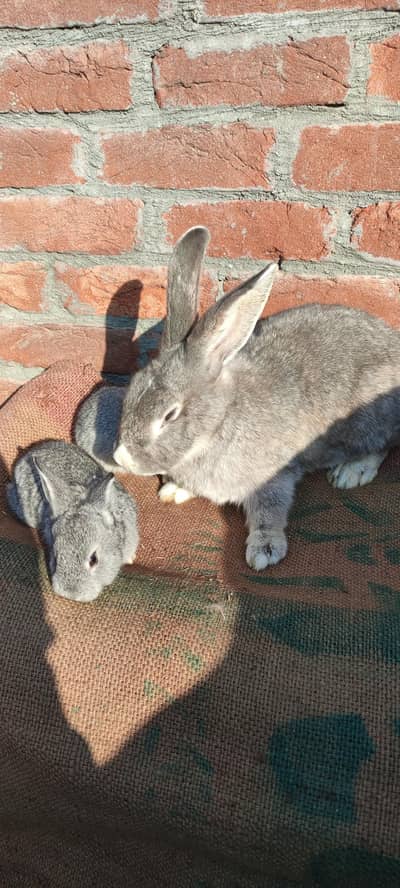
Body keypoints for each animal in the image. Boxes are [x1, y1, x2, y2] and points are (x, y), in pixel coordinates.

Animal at [112, 225, 400, 572]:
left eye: (170, 415)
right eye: (133, 388)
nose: (121, 458)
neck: (220, 420)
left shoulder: (273, 478)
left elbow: (269, 511)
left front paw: (265, 550)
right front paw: (174, 490)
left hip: (371, 418)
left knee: (384, 445)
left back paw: (350, 473)